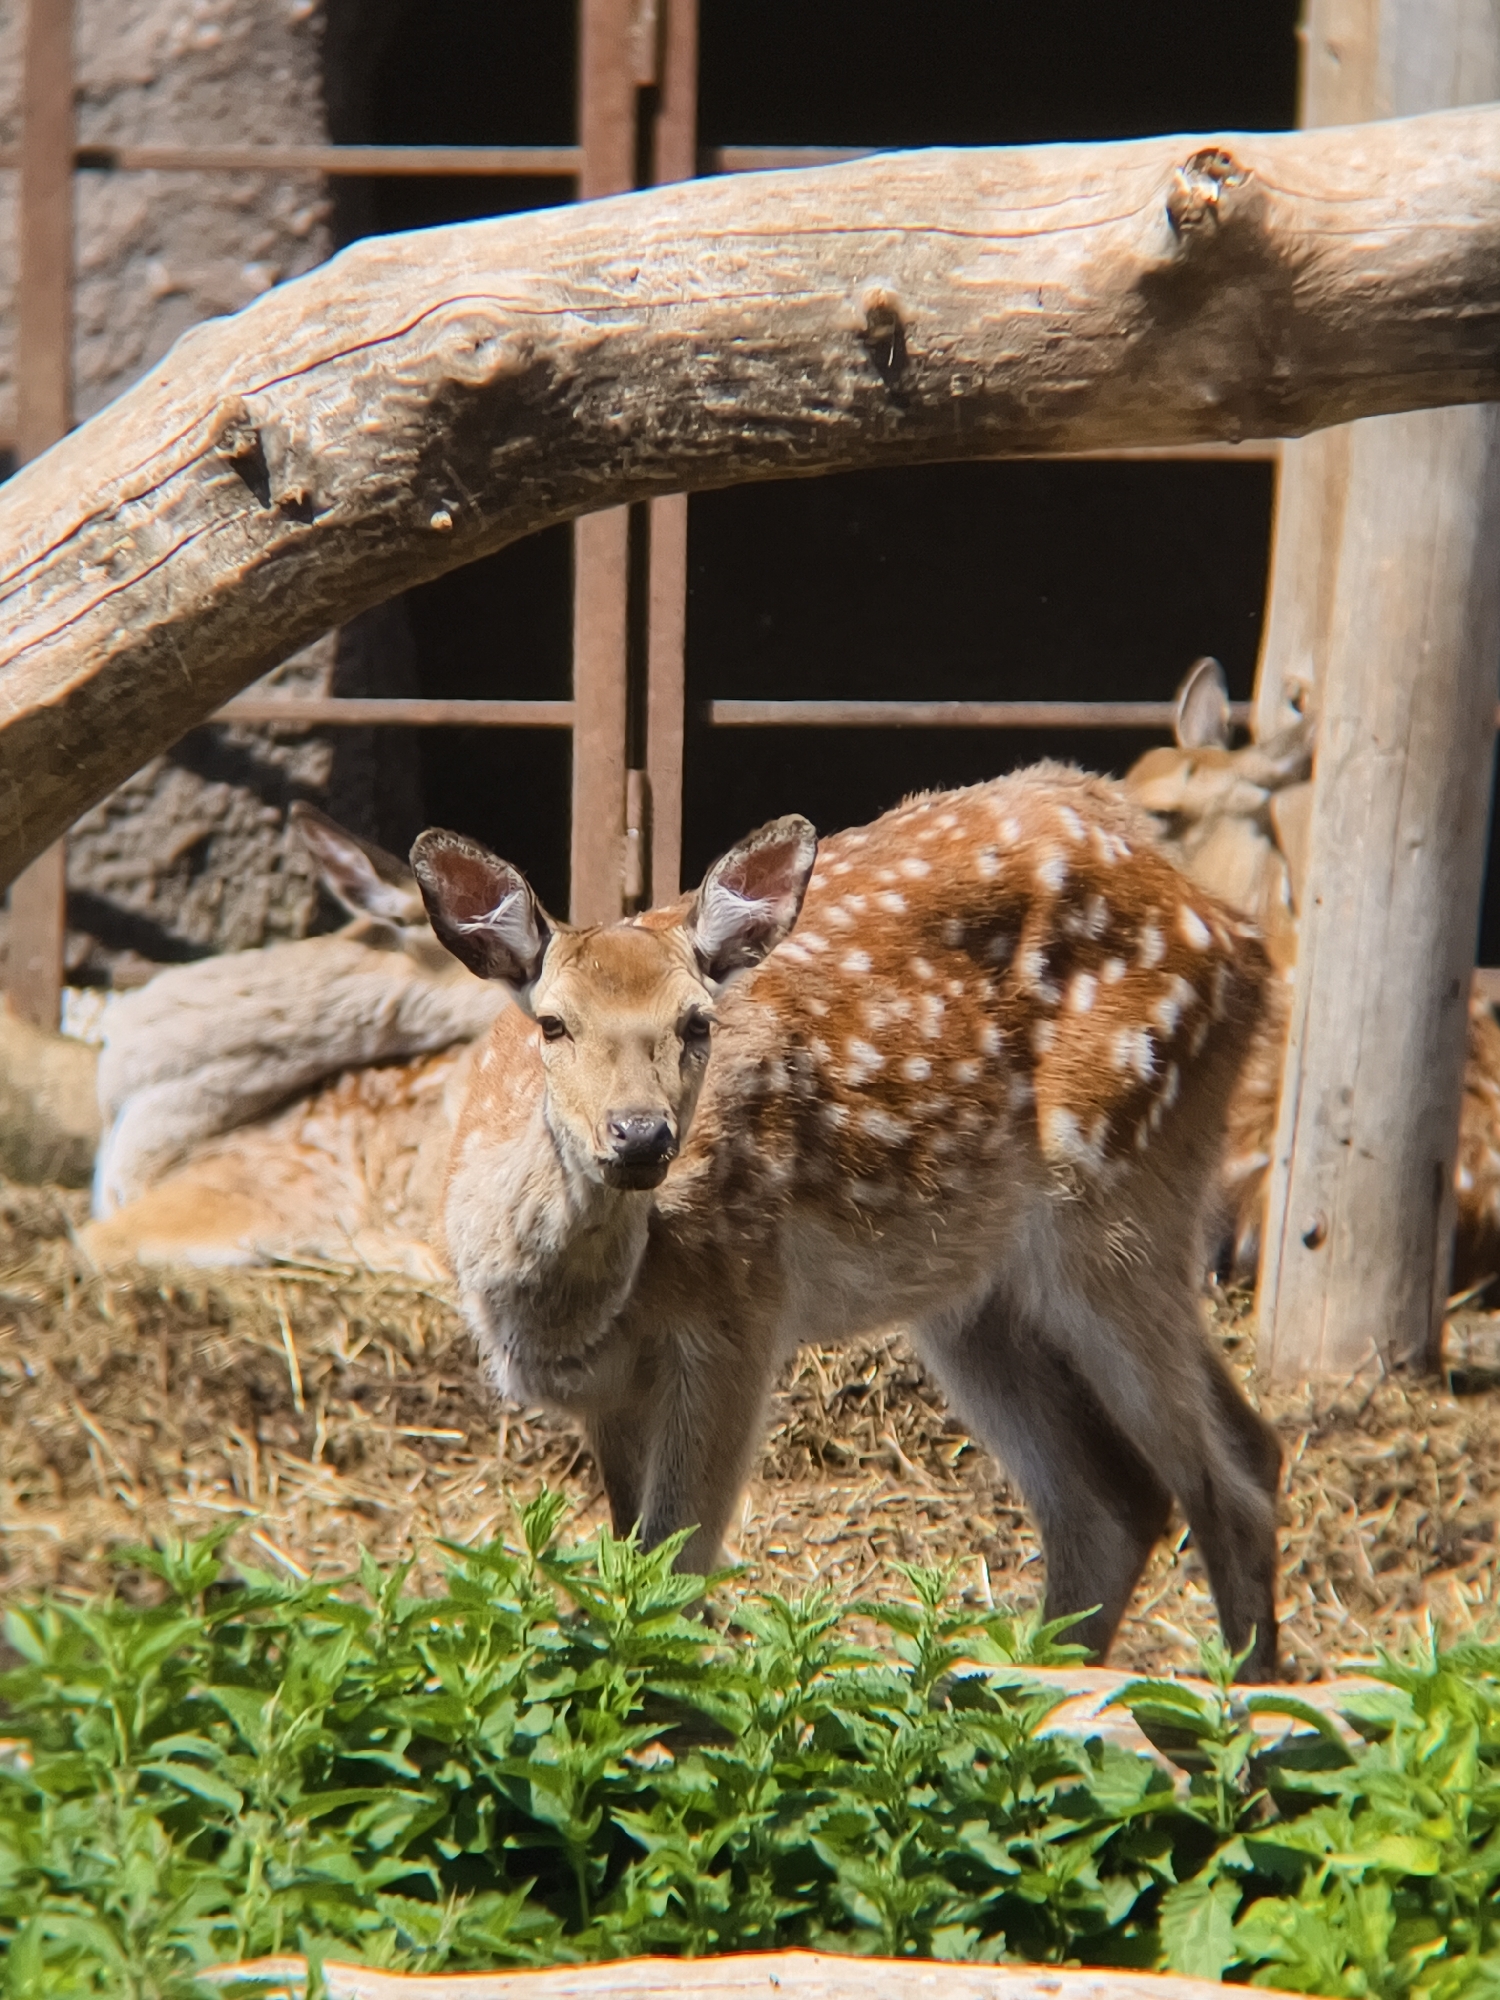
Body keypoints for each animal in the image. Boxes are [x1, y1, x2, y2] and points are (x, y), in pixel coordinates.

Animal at [413, 762, 1284, 1678]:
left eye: (697, 1021)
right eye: (552, 1022)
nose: (641, 1135)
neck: (560, 1311)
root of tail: (1240, 932)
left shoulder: (737, 1319)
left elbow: (674, 1573)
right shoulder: (609, 1395)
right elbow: (628, 1569)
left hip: (1122, 1194)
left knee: (1232, 1475)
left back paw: (1243, 1701)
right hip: (977, 1292)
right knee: (1113, 1501)